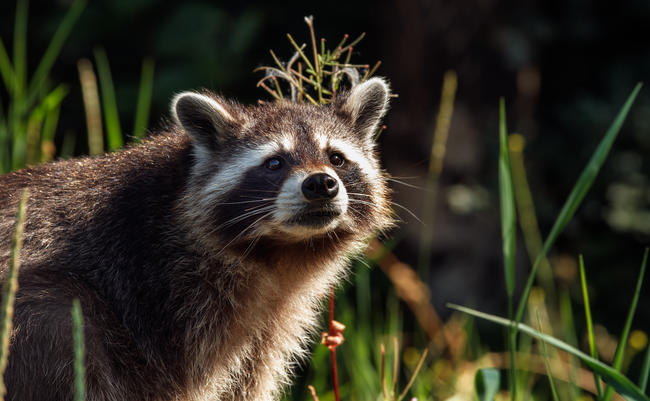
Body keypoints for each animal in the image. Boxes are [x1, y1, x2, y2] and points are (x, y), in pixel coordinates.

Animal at [0, 76, 390, 398]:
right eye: (275, 163)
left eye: (336, 158)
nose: (320, 184)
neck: (279, 251)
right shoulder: (162, 295)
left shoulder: (268, 320)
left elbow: (249, 378)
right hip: (42, 323)